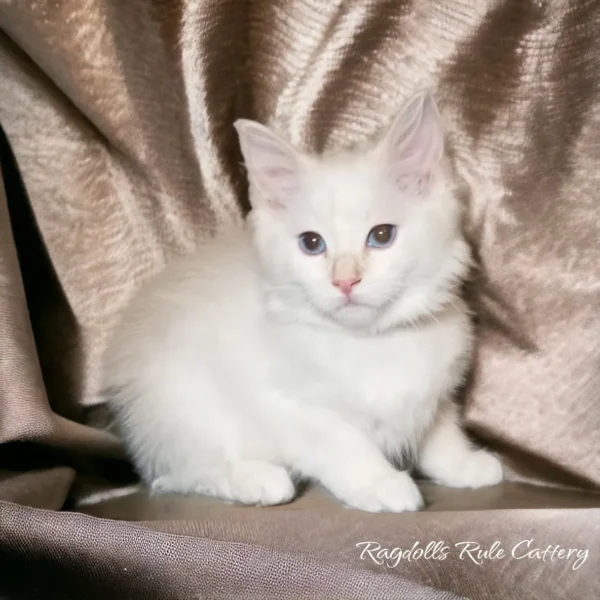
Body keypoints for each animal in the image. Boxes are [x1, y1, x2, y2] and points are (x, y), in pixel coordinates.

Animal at [102, 92, 502, 510]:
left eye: (381, 235)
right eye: (312, 243)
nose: (345, 280)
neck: (370, 343)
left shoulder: (435, 393)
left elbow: (441, 432)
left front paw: (464, 465)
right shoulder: (290, 406)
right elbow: (347, 444)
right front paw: (381, 483)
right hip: (181, 405)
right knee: (181, 472)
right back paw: (255, 479)